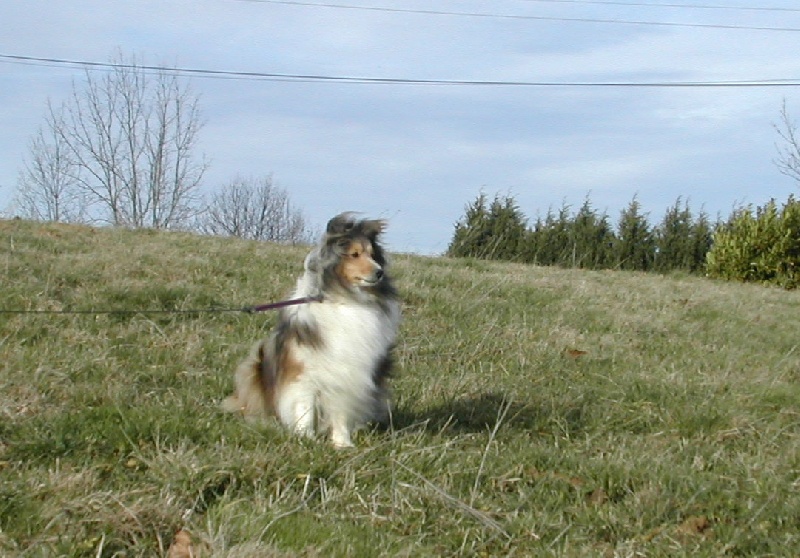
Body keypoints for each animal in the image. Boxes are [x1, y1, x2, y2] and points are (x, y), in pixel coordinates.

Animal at [222, 212, 400, 448]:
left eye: (373, 255)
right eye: (354, 254)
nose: (379, 272)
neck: (344, 298)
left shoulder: (348, 372)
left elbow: (340, 411)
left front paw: (342, 443)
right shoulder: (302, 371)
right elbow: (304, 408)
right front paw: (305, 439)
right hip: (254, 367)